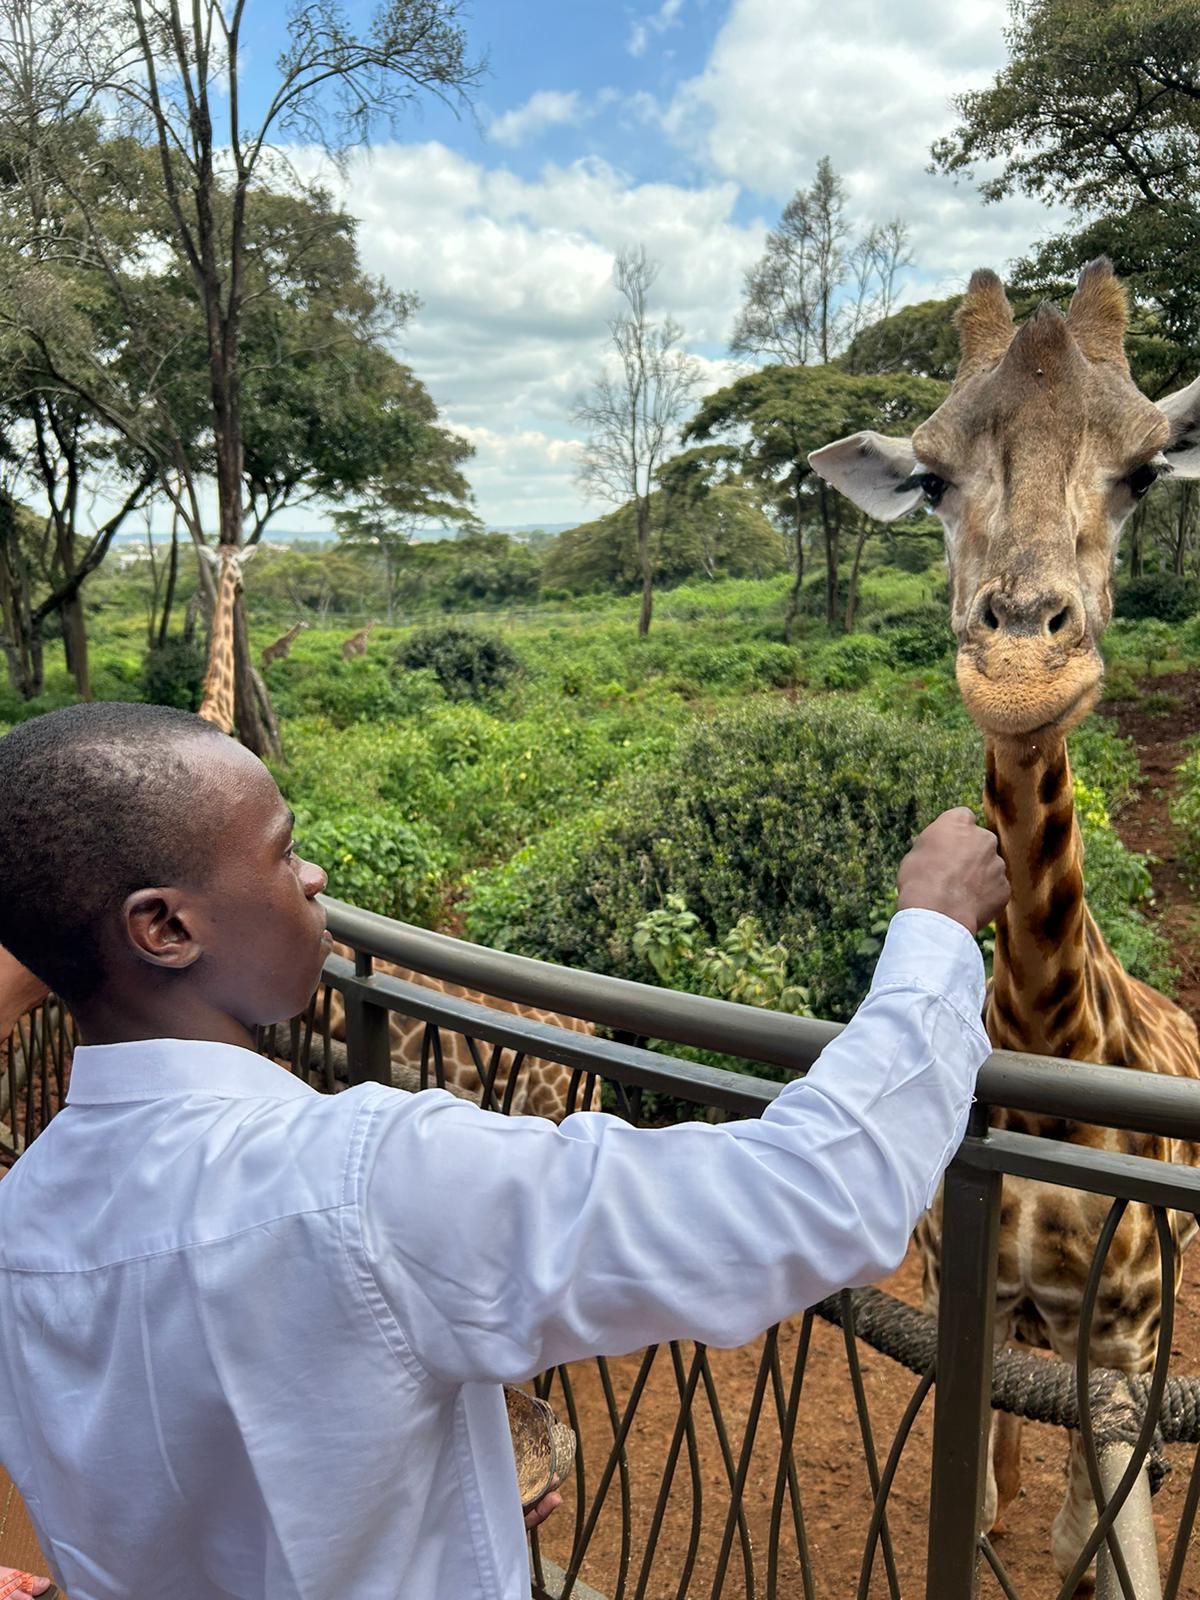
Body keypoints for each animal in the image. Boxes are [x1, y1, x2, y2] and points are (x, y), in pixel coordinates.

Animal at [809, 258, 1200, 1585]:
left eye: (1146, 473)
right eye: (931, 480)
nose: (1025, 668)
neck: (1044, 1041)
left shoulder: (1124, 1343)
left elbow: (1110, 1548)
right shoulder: (959, 1296)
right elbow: (971, 1502)